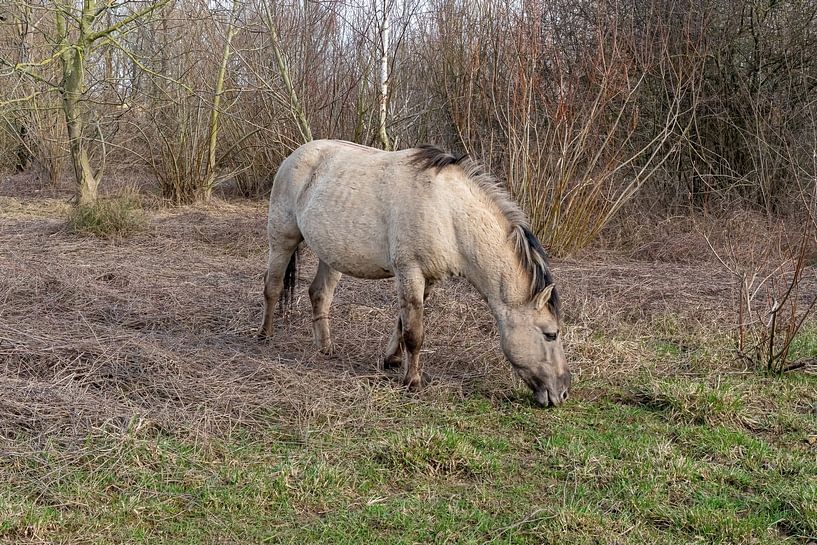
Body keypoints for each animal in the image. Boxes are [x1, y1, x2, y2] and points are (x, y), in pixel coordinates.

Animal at [259, 139, 571, 407]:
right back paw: (265, 335)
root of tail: (296, 155)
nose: (563, 392)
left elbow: (403, 322)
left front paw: (393, 360)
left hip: (331, 256)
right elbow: (414, 333)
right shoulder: (410, 272)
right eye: (550, 334)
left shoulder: (426, 280)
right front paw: (412, 380)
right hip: (282, 240)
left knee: (319, 295)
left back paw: (325, 347)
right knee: (272, 287)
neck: (448, 212)